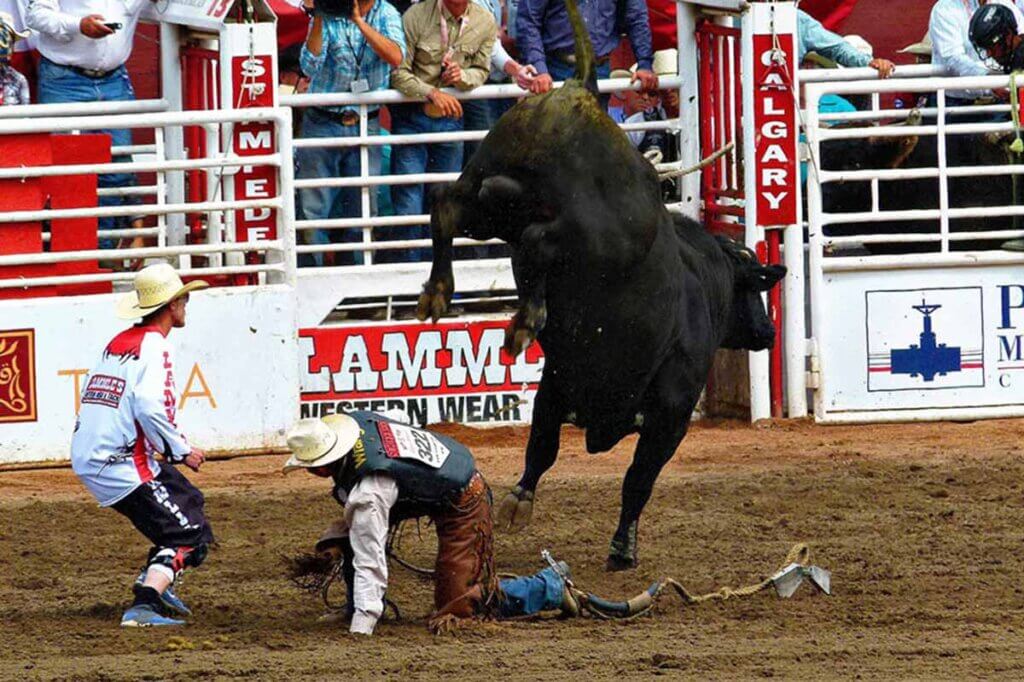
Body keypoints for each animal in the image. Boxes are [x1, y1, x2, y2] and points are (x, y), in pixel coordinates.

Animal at [415, 76, 782, 565]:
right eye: (754, 288)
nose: (768, 330)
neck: (701, 280)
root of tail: (578, 95)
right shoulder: (671, 414)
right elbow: (638, 478)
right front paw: (623, 546)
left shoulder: (556, 382)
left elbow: (542, 447)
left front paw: (520, 499)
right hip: (590, 234)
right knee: (536, 242)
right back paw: (524, 320)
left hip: (488, 195)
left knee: (447, 206)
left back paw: (442, 292)